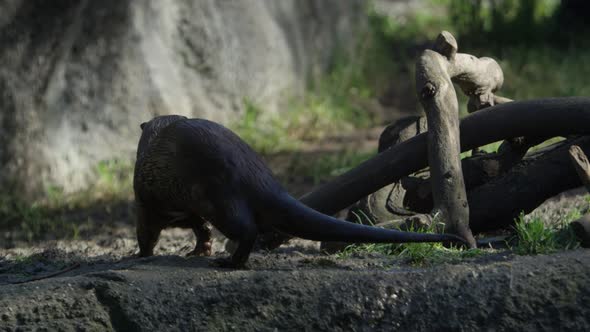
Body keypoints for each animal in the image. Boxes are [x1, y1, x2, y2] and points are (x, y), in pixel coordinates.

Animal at [134, 115, 468, 268]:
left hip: (220, 195)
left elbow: (147, 231)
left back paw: (230, 262)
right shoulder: (187, 209)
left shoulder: (146, 200)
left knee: (246, 228)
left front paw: (140, 255)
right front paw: (199, 249)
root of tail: (257, 174)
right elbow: (199, 228)